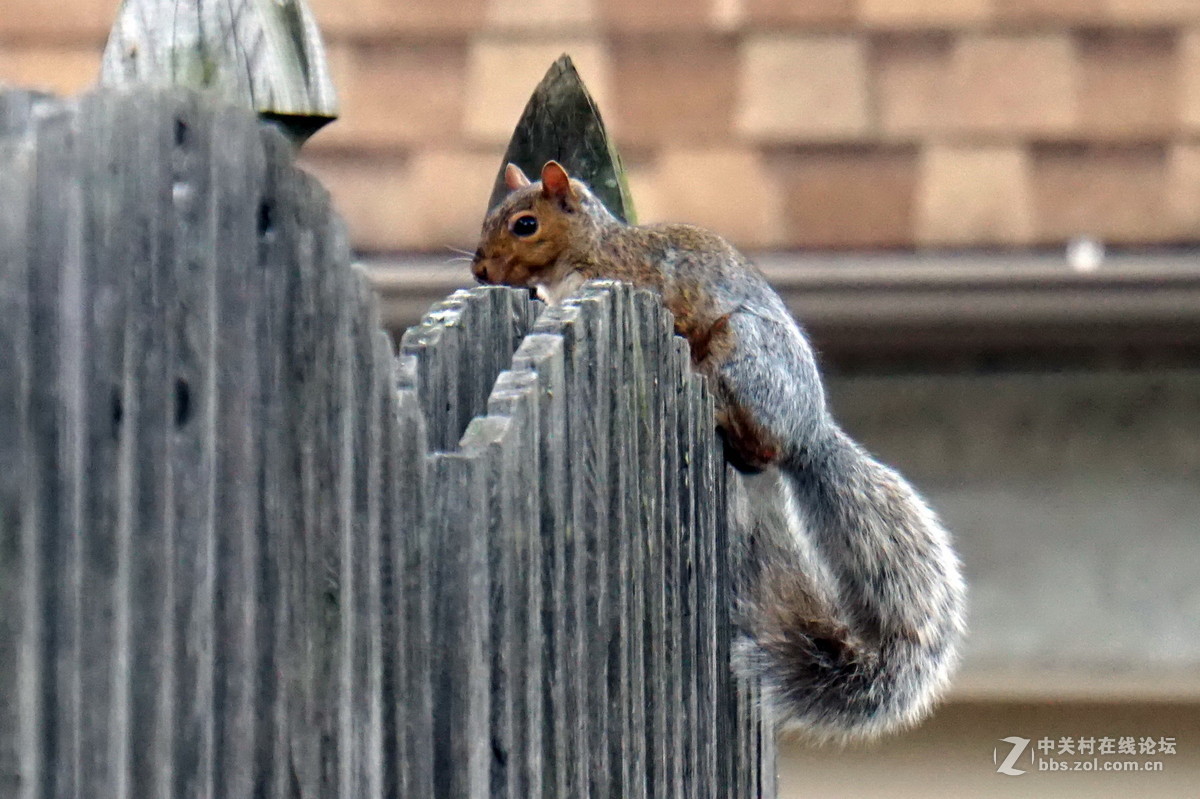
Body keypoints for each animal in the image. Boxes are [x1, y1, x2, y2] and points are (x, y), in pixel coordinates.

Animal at [468, 161, 964, 739]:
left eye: (525, 224)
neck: (595, 246)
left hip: (742, 354)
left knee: (758, 442)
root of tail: (809, 430)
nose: (480, 269)